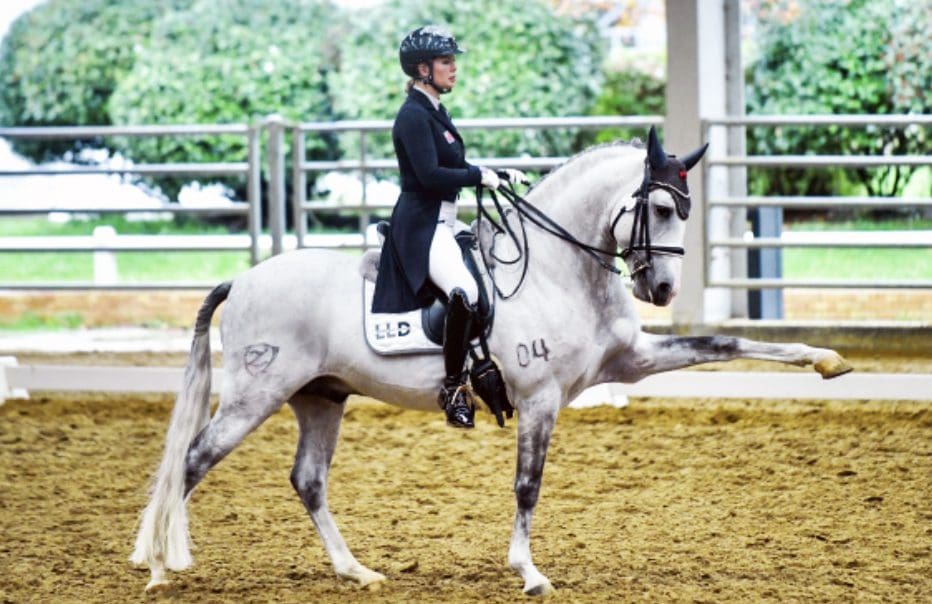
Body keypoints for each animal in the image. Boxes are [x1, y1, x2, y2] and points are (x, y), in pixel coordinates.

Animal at [131, 131, 852, 596]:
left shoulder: (631, 362)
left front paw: (826, 360)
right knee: (192, 461)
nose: (665, 289)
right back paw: (161, 565)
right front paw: (529, 572)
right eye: (659, 207)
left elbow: (728, 344)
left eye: (688, 210)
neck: (563, 269)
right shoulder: (539, 397)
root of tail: (243, 278)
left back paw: (356, 571)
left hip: (320, 396)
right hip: (257, 393)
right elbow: (527, 485)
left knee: (307, 480)